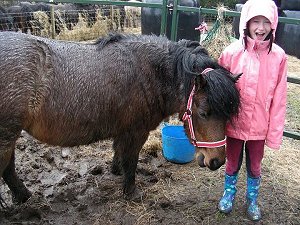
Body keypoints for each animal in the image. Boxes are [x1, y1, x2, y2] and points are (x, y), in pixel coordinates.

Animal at [0, 31, 240, 206]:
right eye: (204, 113)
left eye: (228, 114)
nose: (217, 161)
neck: (149, 71)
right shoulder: (136, 131)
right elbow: (130, 160)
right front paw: (131, 191)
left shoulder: (123, 129)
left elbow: (118, 153)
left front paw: (116, 172)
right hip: (7, 135)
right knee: (6, 167)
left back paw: (23, 197)